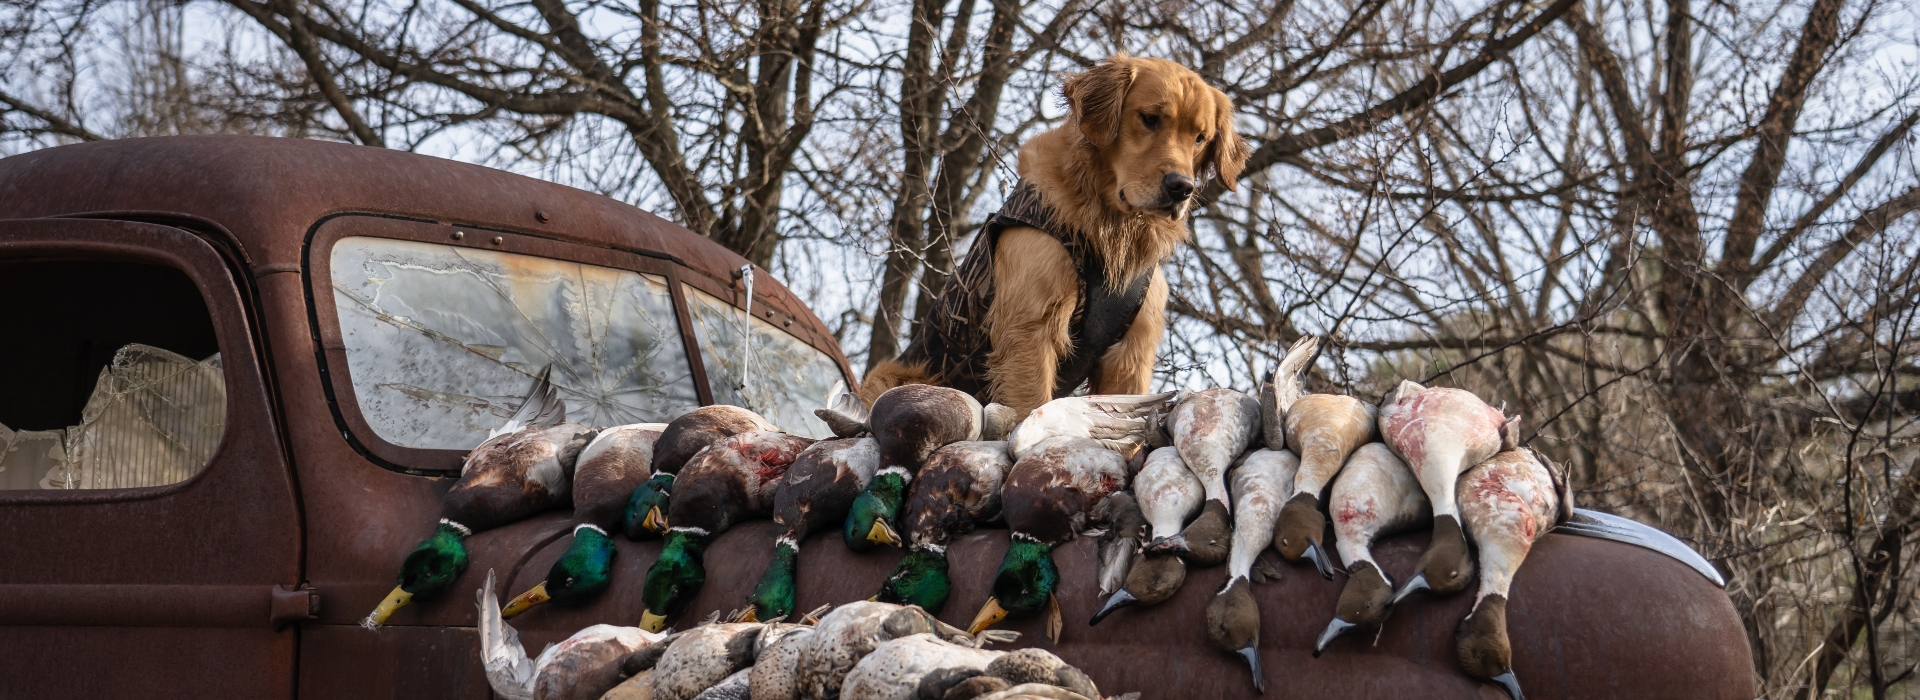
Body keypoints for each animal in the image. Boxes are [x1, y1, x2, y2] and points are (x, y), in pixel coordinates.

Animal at [864, 55, 1251, 414]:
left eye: (1201, 138)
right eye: (1150, 118)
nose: (1181, 188)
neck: (1110, 225)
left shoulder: (1131, 351)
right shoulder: (1030, 332)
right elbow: (1030, 406)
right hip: (893, 376)